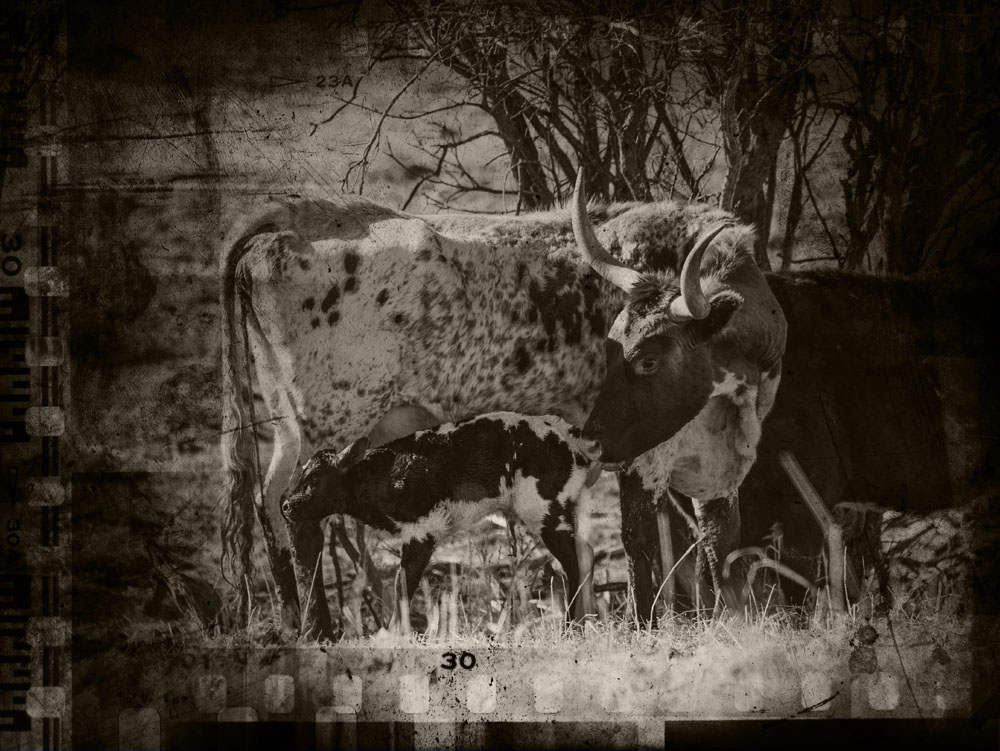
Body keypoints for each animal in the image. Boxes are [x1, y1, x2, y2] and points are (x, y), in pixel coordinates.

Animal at [281, 412, 602, 639]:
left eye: (314, 478)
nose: (286, 505)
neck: (383, 476)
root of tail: (570, 434)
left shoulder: (421, 531)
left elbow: (401, 583)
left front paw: (394, 636)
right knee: (586, 552)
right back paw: (589, 621)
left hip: (544, 511)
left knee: (575, 559)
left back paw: (571, 629)